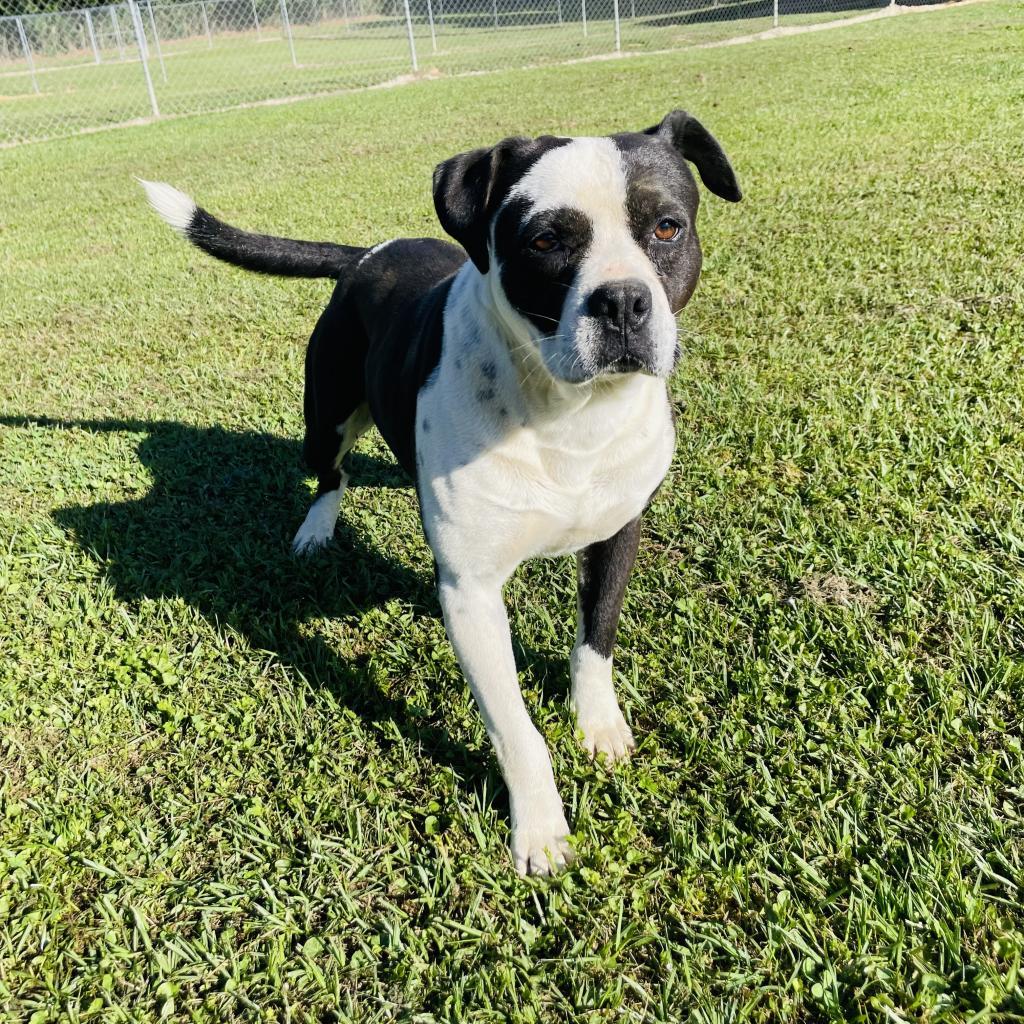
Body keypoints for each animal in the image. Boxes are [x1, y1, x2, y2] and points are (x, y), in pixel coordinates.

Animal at [142, 114, 737, 880]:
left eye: (666, 226)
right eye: (546, 241)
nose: (624, 301)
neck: (568, 413)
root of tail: (367, 255)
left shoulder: (618, 532)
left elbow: (595, 642)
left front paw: (599, 725)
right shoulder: (471, 592)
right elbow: (516, 729)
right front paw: (539, 827)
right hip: (327, 412)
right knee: (331, 472)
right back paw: (317, 528)